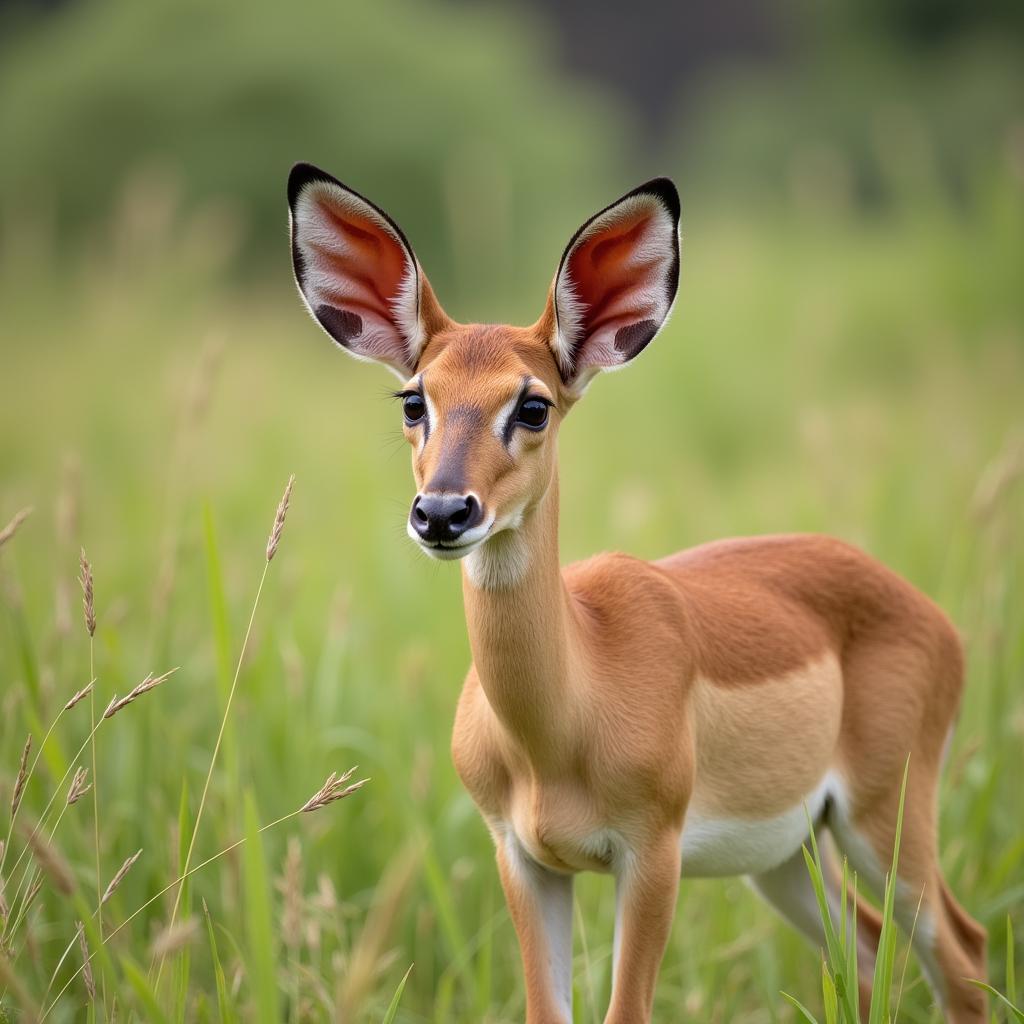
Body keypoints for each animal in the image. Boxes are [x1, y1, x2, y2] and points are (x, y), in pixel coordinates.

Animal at [286, 163, 983, 1019]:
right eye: (415, 399)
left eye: (533, 404)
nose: (444, 512)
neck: (562, 721)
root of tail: (930, 615)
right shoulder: (523, 857)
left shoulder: (651, 854)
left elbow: (628, 1008)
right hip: (786, 856)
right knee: (864, 955)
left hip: (886, 821)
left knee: (961, 951)